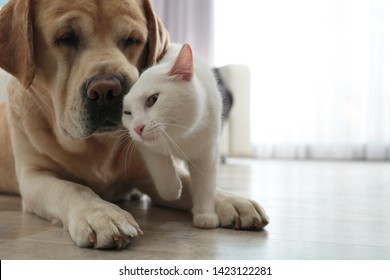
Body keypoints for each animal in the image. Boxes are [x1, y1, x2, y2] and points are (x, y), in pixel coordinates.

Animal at [122, 43, 221, 228]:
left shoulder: (207, 154)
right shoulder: (146, 147)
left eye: (153, 99)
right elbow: (163, 173)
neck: (180, 138)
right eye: (127, 113)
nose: (137, 128)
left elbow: (205, 185)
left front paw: (205, 214)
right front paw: (174, 190)